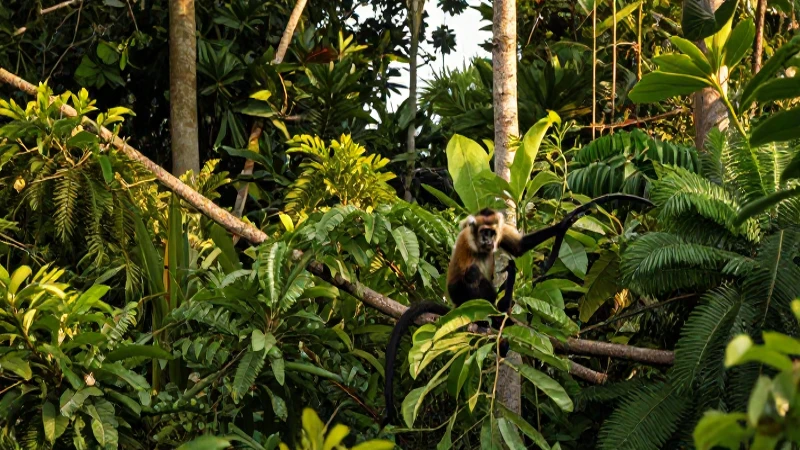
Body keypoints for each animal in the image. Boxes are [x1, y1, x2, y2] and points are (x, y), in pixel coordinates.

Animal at [381, 193, 654, 426]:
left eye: (492, 232)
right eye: (483, 233)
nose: (489, 241)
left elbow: (520, 248)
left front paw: (564, 223)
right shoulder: (466, 241)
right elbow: (470, 270)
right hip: (460, 295)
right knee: (472, 275)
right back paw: (491, 318)